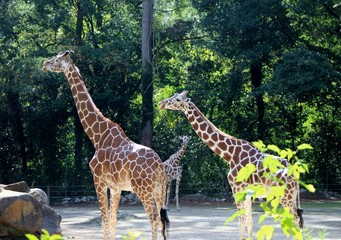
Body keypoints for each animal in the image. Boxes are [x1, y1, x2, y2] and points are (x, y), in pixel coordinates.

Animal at [41, 50, 169, 240]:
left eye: (57, 60)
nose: (44, 64)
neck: (97, 136)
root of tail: (160, 166)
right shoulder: (116, 187)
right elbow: (113, 221)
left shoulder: (99, 180)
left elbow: (104, 220)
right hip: (160, 189)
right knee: (163, 220)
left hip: (143, 189)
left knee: (153, 217)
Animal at [159, 90, 302, 240]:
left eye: (177, 99)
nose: (161, 103)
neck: (229, 154)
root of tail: (296, 174)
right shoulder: (247, 192)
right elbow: (249, 220)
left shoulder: (236, 188)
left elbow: (241, 220)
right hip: (291, 195)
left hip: (285, 194)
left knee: (295, 218)